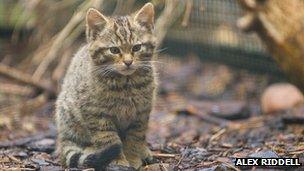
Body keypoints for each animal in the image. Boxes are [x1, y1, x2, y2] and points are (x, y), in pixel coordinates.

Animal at [55, 3, 157, 170]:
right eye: (114, 50)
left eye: (136, 48)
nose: (128, 62)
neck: (126, 83)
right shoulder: (95, 113)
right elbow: (108, 138)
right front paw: (118, 160)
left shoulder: (141, 112)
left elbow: (135, 136)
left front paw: (133, 157)